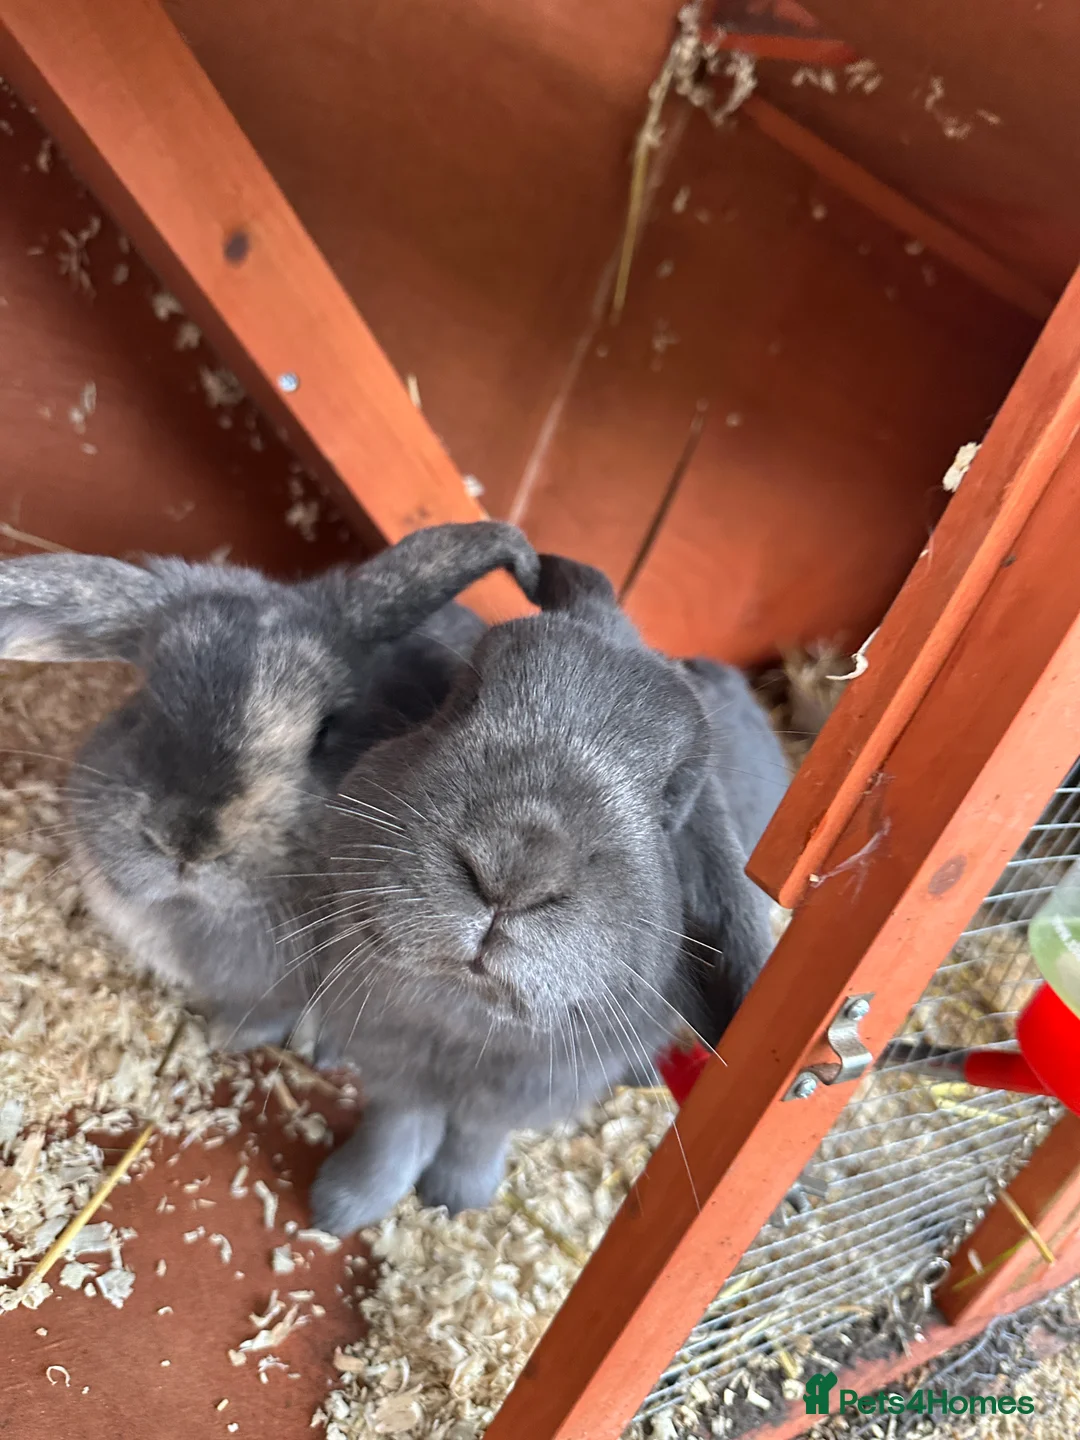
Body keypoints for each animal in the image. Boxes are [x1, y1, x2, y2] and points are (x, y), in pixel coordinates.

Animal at [308, 552, 788, 1234]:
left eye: (673, 792)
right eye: (466, 694)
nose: (515, 871)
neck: (466, 1011)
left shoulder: (517, 1096)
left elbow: (474, 1136)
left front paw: (458, 1197)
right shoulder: (395, 1064)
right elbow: (396, 1130)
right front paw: (341, 1207)